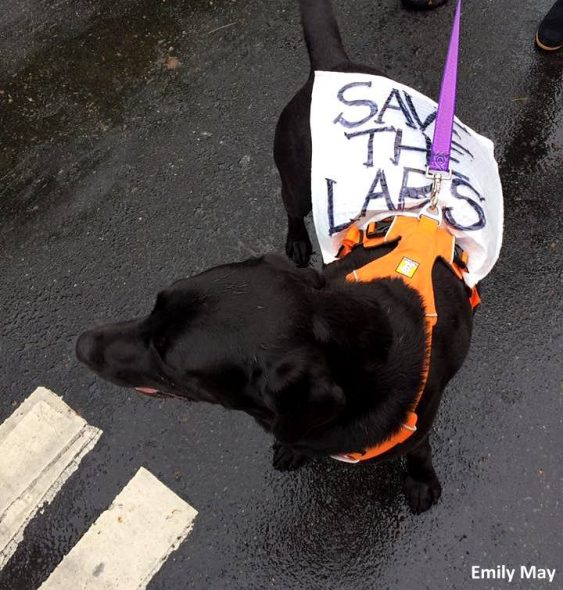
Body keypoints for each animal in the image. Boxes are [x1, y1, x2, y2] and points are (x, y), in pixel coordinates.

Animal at [77, 1, 476, 512]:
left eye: (171, 363)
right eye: (154, 304)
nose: (81, 344)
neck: (357, 358)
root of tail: (334, 66)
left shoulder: (417, 425)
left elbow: (419, 450)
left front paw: (421, 480)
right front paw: (292, 450)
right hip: (296, 180)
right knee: (291, 210)